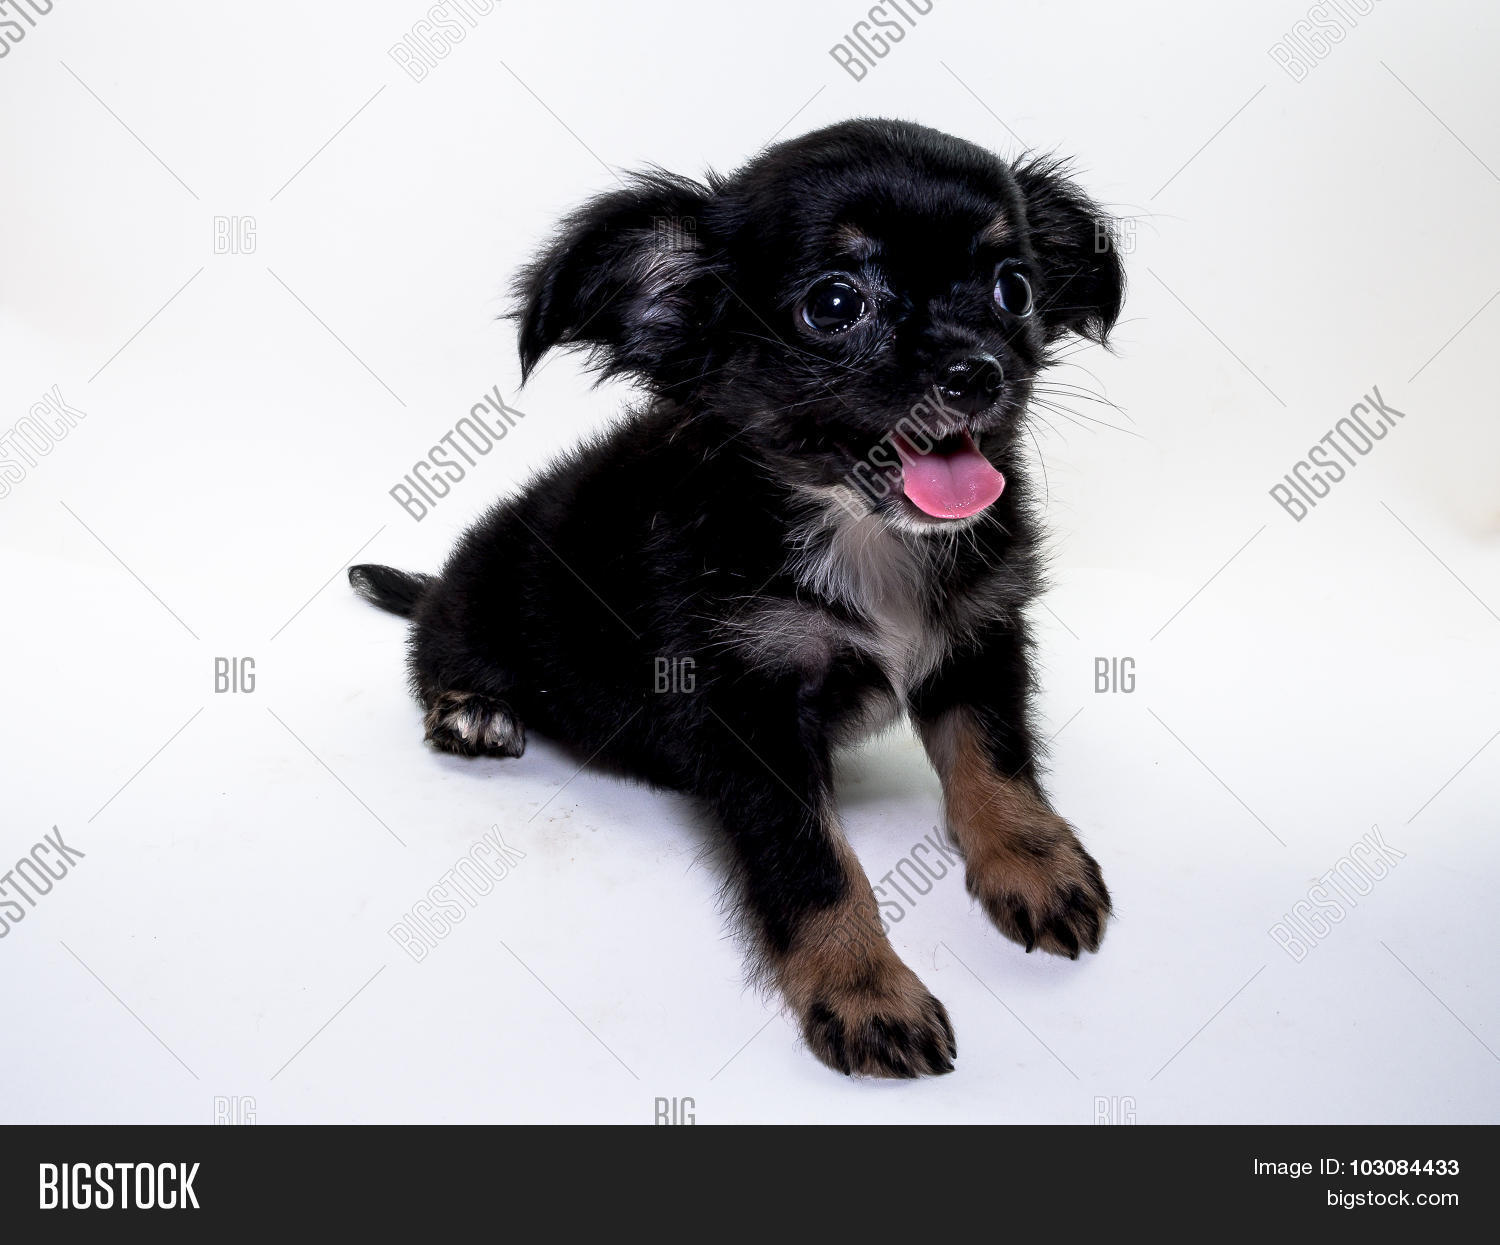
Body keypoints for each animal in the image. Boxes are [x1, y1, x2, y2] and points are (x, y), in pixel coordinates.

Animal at [350, 118, 1123, 1078]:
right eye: (835, 305)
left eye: (1014, 288)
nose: (976, 372)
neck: (858, 534)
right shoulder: (747, 708)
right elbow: (814, 864)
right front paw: (864, 987)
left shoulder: (981, 633)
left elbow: (997, 757)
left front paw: (1035, 864)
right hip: (476, 600)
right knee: (435, 646)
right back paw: (472, 708)